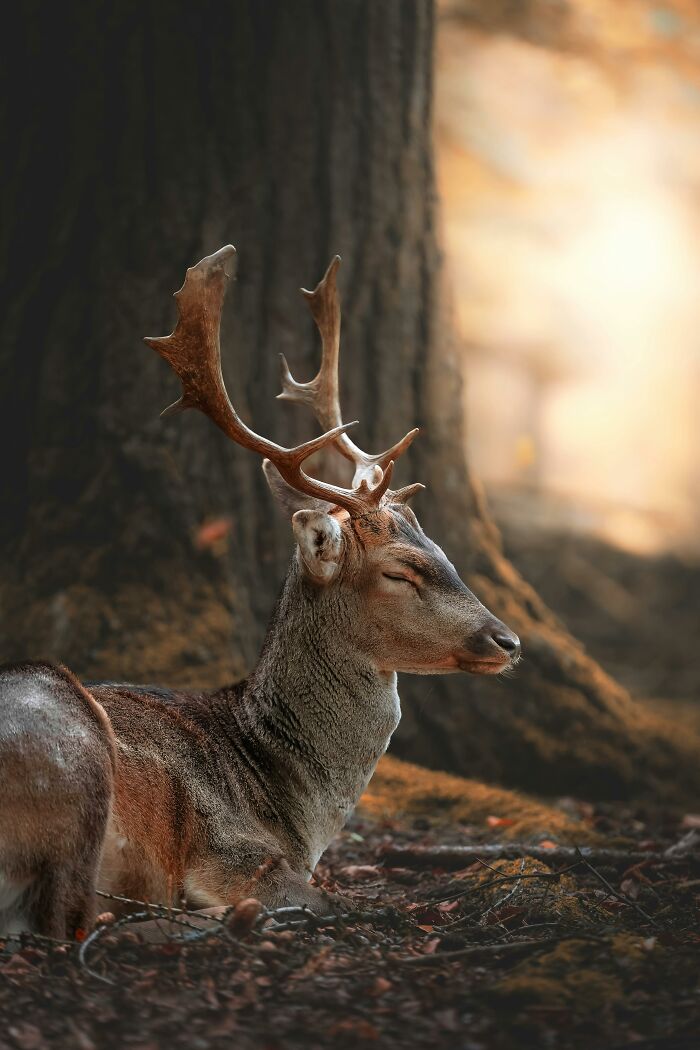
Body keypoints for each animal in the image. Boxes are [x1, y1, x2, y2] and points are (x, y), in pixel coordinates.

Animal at [0, 245, 520, 940]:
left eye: (442, 552)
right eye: (400, 571)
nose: (507, 640)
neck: (295, 812)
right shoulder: (233, 852)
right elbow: (331, 899)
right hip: (75, 754)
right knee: (70, 918)